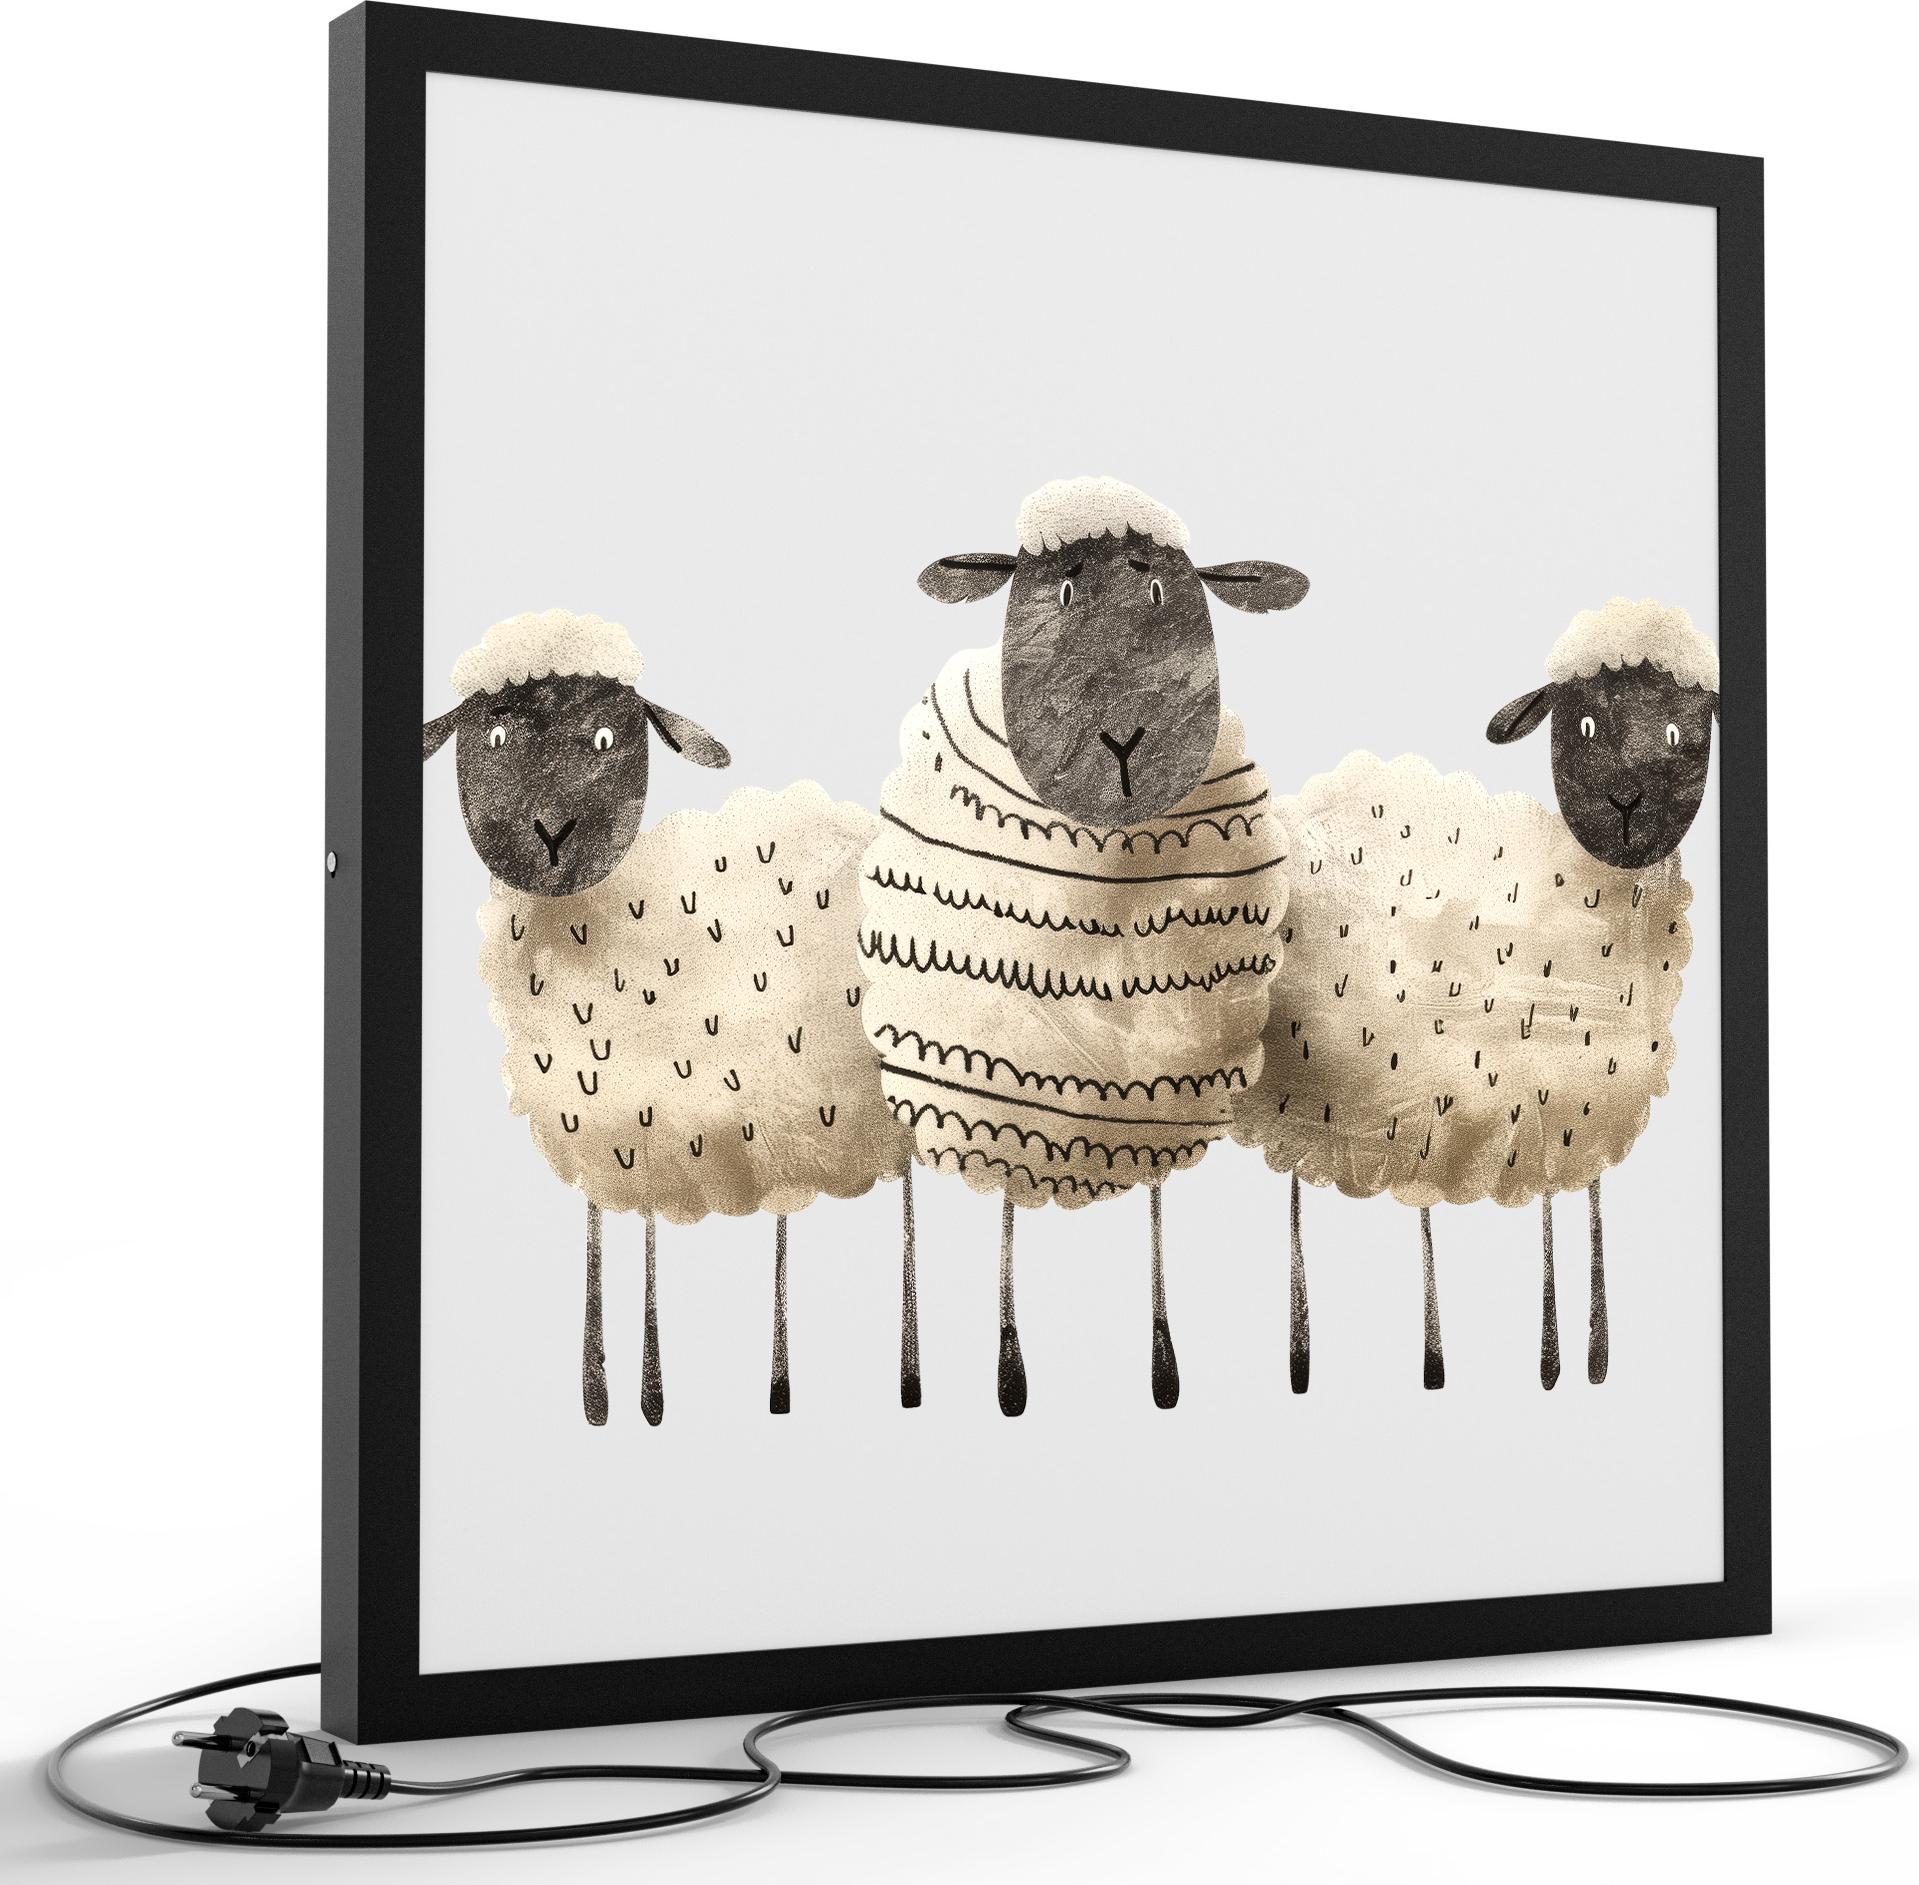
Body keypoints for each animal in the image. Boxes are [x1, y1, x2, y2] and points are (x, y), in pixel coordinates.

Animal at [424, 609, 914, 1426]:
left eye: (606, 738)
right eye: (490, 737)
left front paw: (639, 1395)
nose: (550, 834)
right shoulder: (610, 1129)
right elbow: (609, 1246)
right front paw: (613, 1394)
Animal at [1231, 598, 1718, 1391]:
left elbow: (1580, 1217)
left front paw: (1580, 1356)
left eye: (1684, 732)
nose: (1627, 804)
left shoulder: (1577, 1111)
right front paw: (1555, 1358)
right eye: (1582, 724)